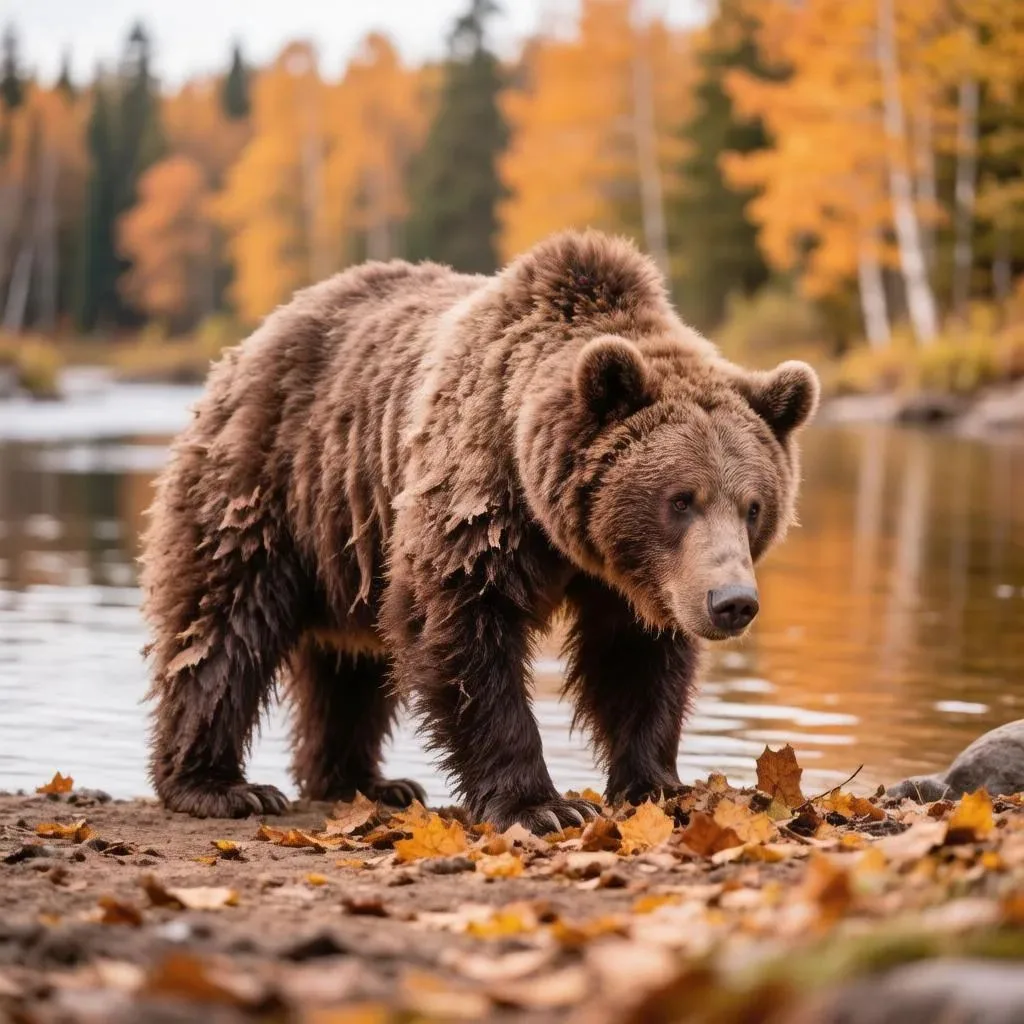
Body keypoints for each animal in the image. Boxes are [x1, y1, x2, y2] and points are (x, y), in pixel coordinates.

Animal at [140, 229, 819, 833]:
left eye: (753, 506)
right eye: (681, 500)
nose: (732, 602)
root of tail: (254, 339)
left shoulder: (639, 581)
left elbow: (637, 660)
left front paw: (656, 784)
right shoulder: (477, 502)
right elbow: (464, 630)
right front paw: (542, 805)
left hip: (350, 541)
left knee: (349, 666)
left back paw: (366, 781)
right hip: (271, 482)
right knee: (225, 623)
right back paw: (221, 785)